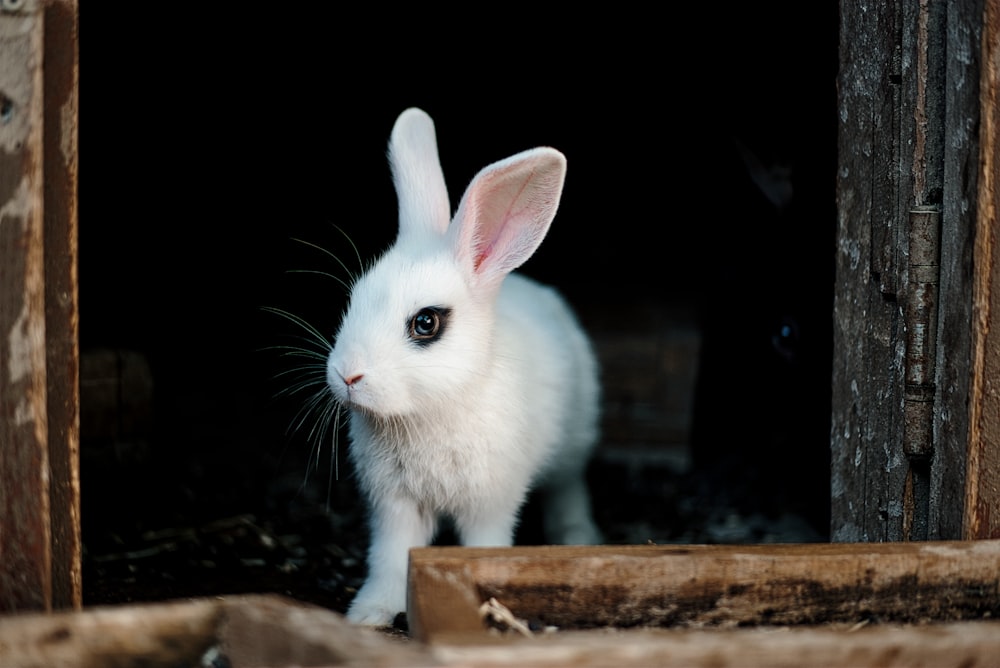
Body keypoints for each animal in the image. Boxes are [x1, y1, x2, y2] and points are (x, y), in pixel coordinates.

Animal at [328, 107, 596, 624]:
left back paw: (578, 537)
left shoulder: (491, 501)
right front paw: (369, 615)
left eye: (426, 323)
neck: (429, 411)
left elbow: (483, 545)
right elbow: (389, 559)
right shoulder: (394, 506)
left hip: (573, 444)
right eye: (353, 300)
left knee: (568, 487)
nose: (347, 375)